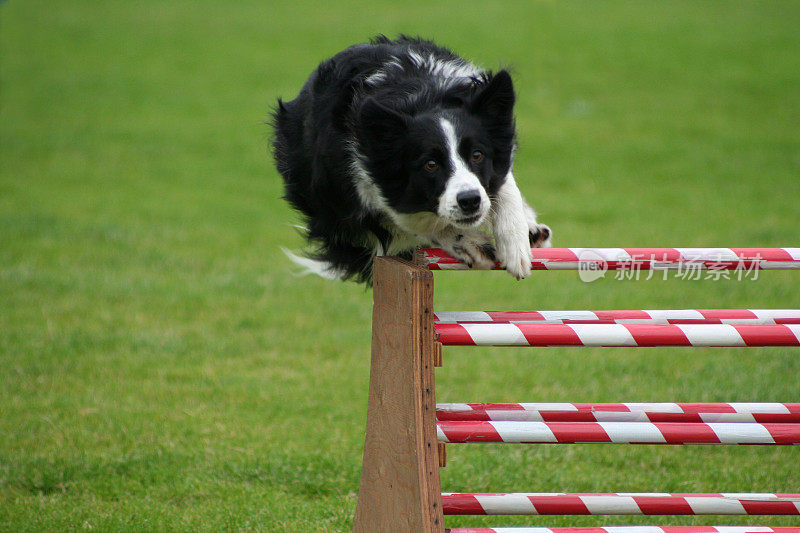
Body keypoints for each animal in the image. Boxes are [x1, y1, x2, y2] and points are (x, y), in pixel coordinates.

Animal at [272, 34, 548, 282]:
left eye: (477, 155)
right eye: (430, 164)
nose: (470, 200)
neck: (423, 99)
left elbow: (505, 186)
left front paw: (516, 245)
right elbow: (412, 223)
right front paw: (470, 243)